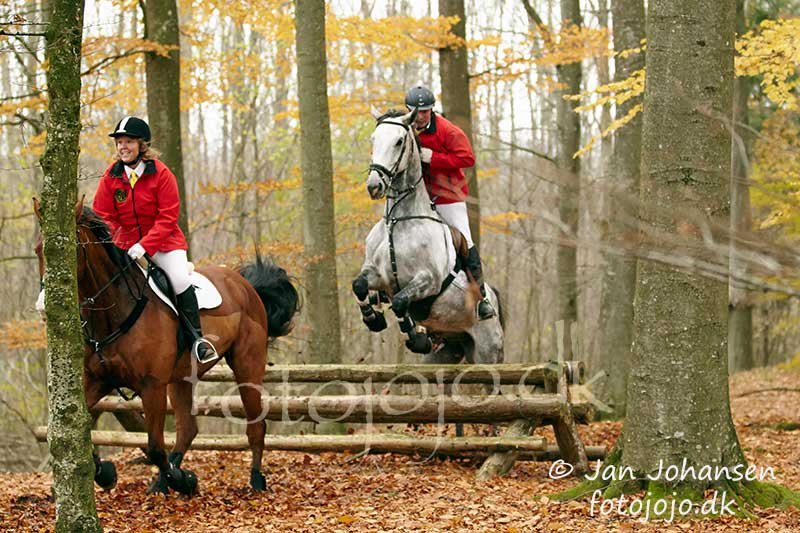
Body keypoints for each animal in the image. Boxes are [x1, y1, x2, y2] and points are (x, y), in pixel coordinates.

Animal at [33, 198, 299, 495]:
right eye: (38, 251)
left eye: (70, 251)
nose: (43, 307)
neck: (114, 313)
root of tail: (245, 285)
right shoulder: (98, 380)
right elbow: (64, 434)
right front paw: (106, 473)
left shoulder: (152, 386)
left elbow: (154, 447)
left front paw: (185, 480)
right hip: (182, 377)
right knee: (188, 429)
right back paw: (164, 480)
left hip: (246, 365)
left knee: (255, 425)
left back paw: (255, 480)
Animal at [351, 108, 504, 367]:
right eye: (373, 140)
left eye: (399, 141)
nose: (374, 186)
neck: (398, 221)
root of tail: (493, 297)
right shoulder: (377, 275)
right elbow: (359, 284)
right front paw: (374, 319)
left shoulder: (428, 280)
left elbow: (400, 301)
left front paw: (416, 338)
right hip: (445, 352)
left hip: (487, 352)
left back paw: (482, 309)